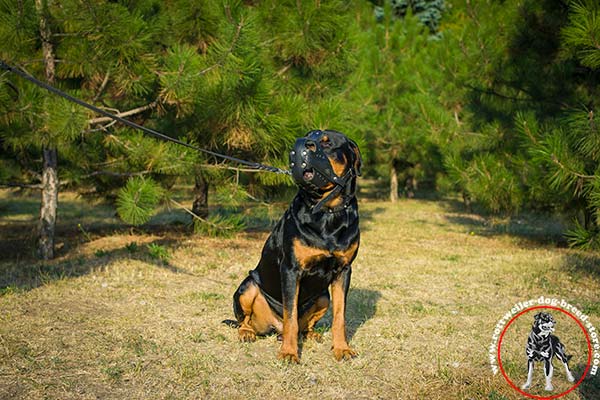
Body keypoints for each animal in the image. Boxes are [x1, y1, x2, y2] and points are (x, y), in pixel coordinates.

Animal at [230, 129, 360, 362]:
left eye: (327, 143)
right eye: (308, 135)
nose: (301, 145)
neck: (327, 212)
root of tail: (275, 329)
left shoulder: (344, 270)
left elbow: (340, 316)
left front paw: (342, 348)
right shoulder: (291, 269)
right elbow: (290, 315)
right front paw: (289, 353)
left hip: (323, 297)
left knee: (304, 325)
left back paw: (311, 334)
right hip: (248, 286)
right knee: (246, 320)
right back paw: (247, 333)